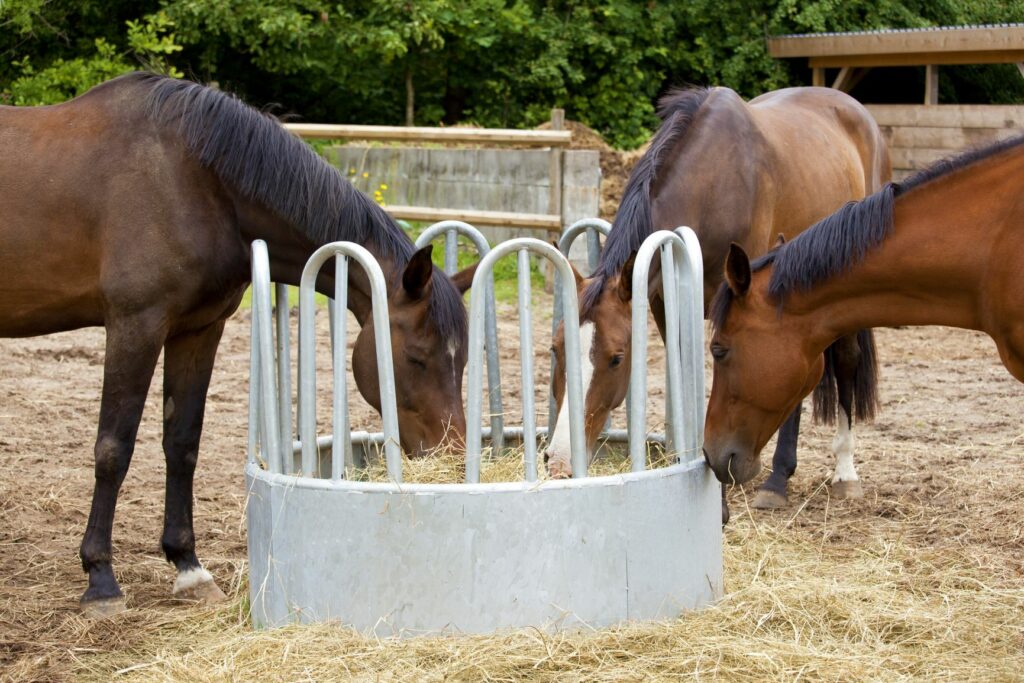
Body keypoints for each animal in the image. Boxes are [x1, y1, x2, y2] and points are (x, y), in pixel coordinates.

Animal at [0, 73, 475, 614]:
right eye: (416, 359)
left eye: (462, 362)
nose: (453, 454)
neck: (192, 182)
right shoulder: (134, 326)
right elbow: (113, 448)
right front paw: (101, 579)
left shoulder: (198, 330)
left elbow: (182, 442)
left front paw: (188, 567)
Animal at [548, 85, 892, 511]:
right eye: (555, 349)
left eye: (616, 358)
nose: (559, 458)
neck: (713, 181)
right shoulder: (664, 305)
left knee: (844, 362)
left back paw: (826, 474)